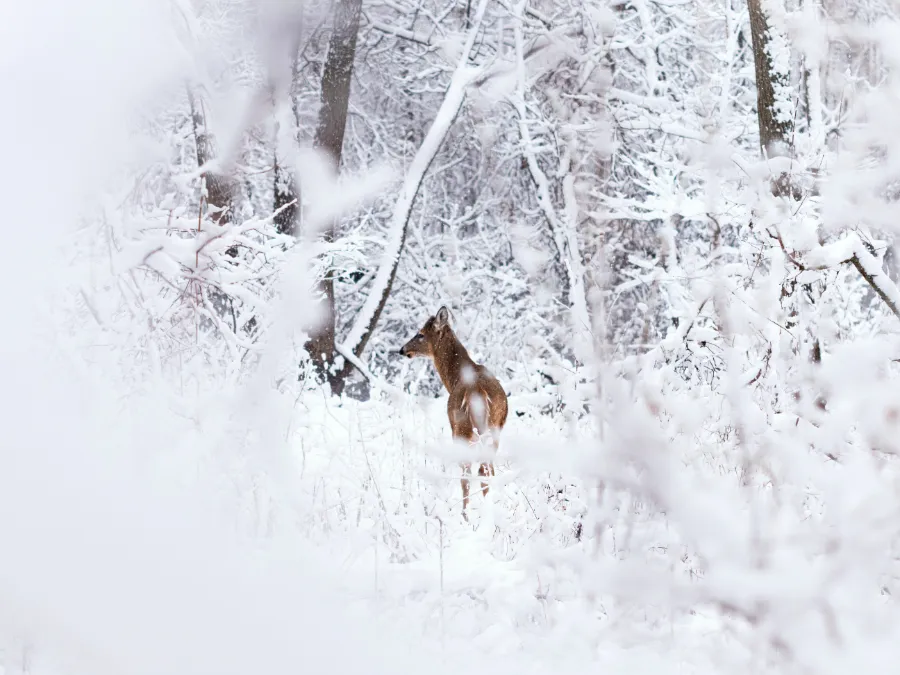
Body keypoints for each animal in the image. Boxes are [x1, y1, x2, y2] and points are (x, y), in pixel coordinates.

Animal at [400, 308, 506, 524]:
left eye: (420, 334)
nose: (402, 349)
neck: (455, 377)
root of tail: (477, 392)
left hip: (461, 428)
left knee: (469, 472)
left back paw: (466, 515)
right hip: (493, 429)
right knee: (487, 469)